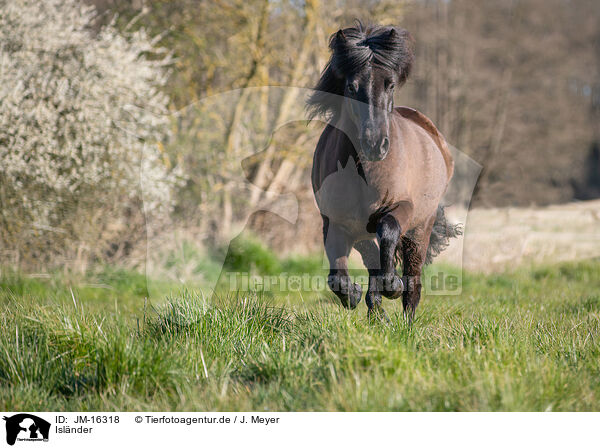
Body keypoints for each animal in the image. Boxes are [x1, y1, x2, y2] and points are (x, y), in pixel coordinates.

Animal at [310, 21, 460, 322]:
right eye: (351, 86)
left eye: (390, 84)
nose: (375, 144)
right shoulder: (334, 221)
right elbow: (338, 276)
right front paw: (354, 295)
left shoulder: (401, 207)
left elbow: (389, 232)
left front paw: (392, 286)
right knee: (373, 258)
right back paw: (375, 309)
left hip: (421, 227)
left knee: (412, 275)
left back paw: (405, 319)